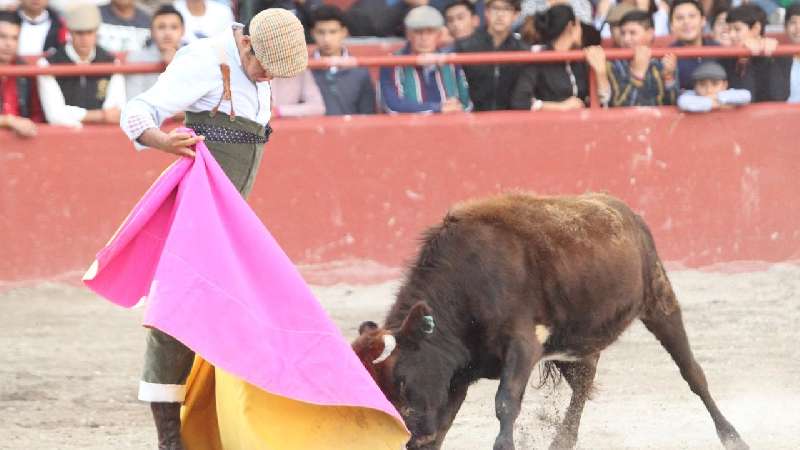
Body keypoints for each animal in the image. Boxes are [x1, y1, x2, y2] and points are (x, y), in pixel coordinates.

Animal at [354, 192, 748, 450]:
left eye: (401, 379)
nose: (411, 436)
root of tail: (623, 210)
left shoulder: (522, 345)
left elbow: (505, 403)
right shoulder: (456, 373)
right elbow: (447, 423)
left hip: (659, 299)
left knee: (693, 373)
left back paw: (733, 436)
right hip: (578, 342)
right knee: (583, 386)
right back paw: (562, 441)